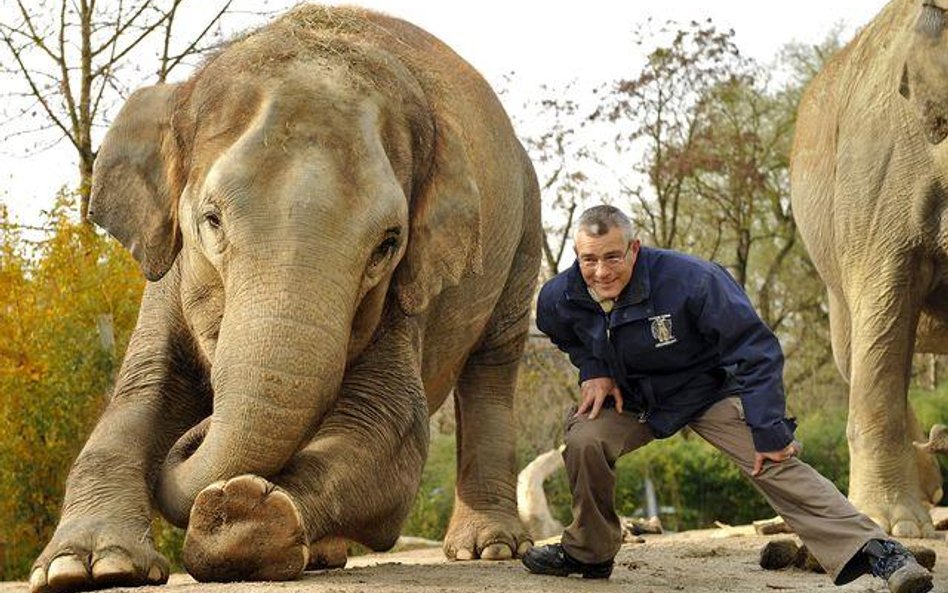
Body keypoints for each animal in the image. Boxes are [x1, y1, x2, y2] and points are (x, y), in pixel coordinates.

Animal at [29, 5, 540, 592]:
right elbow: (142, 393)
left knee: (493, 365)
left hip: (525, 233)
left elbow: (389, 425)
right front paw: (87, 566)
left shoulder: (408, 295)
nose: (199, 430)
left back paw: (490, 547)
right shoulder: (168, 275)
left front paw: (241, 518)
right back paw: (323, 556)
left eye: (388, 243)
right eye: (211, 219)